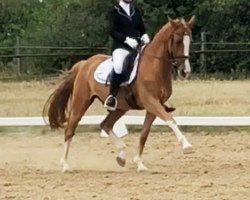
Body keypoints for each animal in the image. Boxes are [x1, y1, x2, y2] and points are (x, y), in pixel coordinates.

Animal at [43, 16, 195, 172]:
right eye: (177, 40)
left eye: (190, 40)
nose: (185, 72)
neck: (154, 67)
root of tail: (84, 64)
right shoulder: (151, 102)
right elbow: (170, 120)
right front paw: (187, 146)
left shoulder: (154, 106)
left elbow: (144, 134)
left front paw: (140, 164)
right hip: (81, 102)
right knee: (70, 130)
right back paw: (65, 165)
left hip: (121, 107)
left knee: (105, 124)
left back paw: (121, 155)